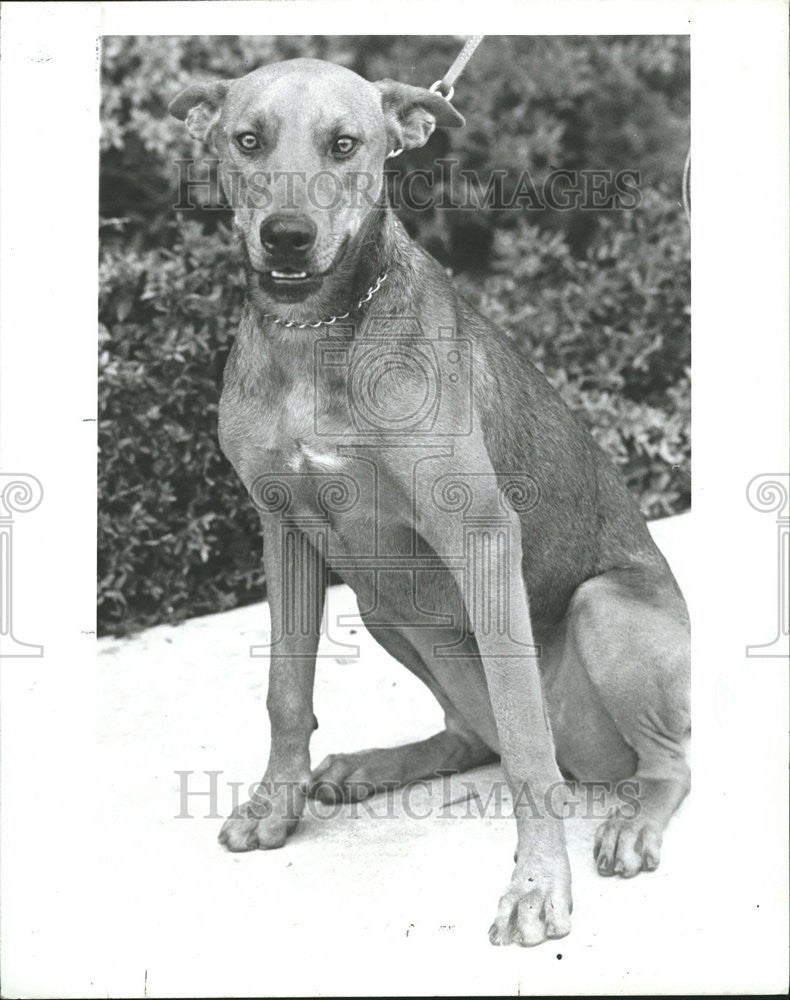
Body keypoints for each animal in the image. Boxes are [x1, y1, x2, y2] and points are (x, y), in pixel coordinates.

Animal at [170, 54, 688, 944]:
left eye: (346, 144)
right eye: (248, 139)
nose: (286, 236)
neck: (317, 333)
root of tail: (593, 762)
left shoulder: (479, 532)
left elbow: (526, 744)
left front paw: (537, 884)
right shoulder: (283, 529)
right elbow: (285, 692)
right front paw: (277, 803)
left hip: (604, 610)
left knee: (659, 761)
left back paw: (633, 822)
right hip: (387, 604)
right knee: (471, 735)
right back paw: (373, 767)